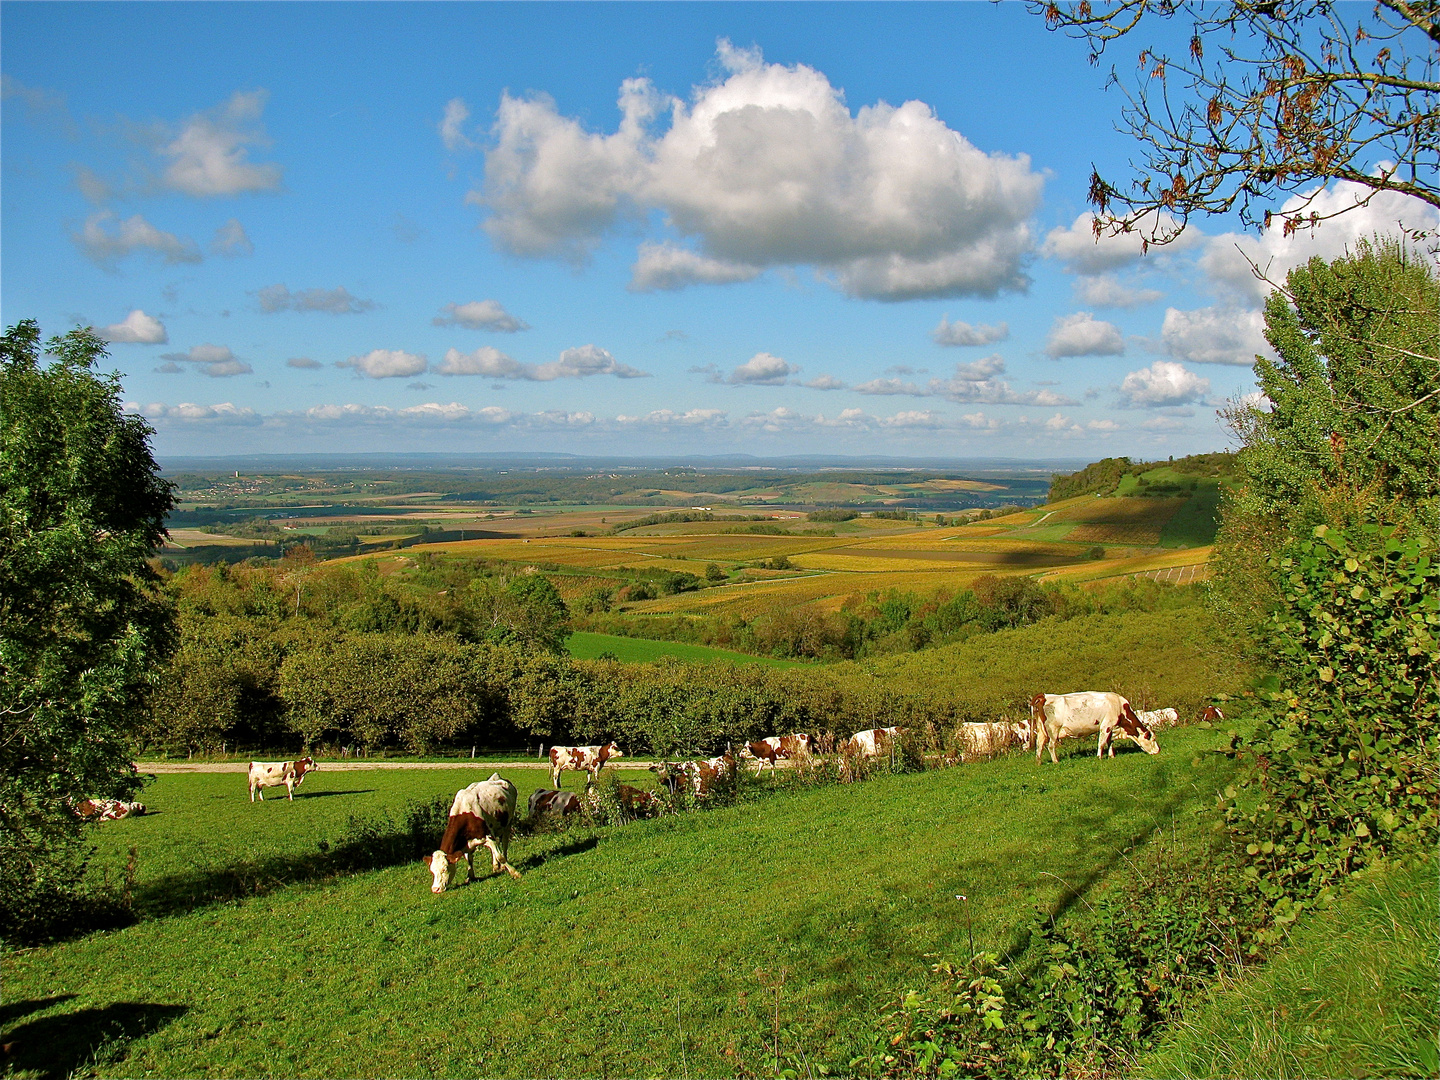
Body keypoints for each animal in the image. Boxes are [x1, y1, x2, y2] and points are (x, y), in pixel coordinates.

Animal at [1025, 694, 1157, 771]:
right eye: (1153, 739)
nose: (1158, 751)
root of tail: (1044, 696)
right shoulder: (1106, 726)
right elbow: (1102, 743)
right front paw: (1099, 757)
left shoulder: (1111, 727)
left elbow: (1110, 742)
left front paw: (1111, 756)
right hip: (1053, 729)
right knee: (1051, 746)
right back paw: (1056, 762)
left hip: (1041, 730)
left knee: (1039, 745)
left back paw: (1038, 763)